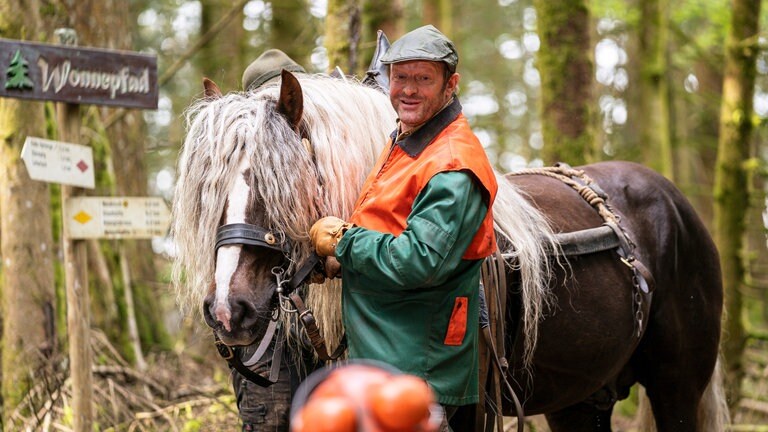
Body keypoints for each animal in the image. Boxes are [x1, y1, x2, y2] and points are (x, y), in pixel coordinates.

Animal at [171, 72, 728, 430]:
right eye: (210, 192)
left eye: (277, 187)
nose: (229, 309)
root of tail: (675, 203)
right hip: (583, 397)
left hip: (677, 385)